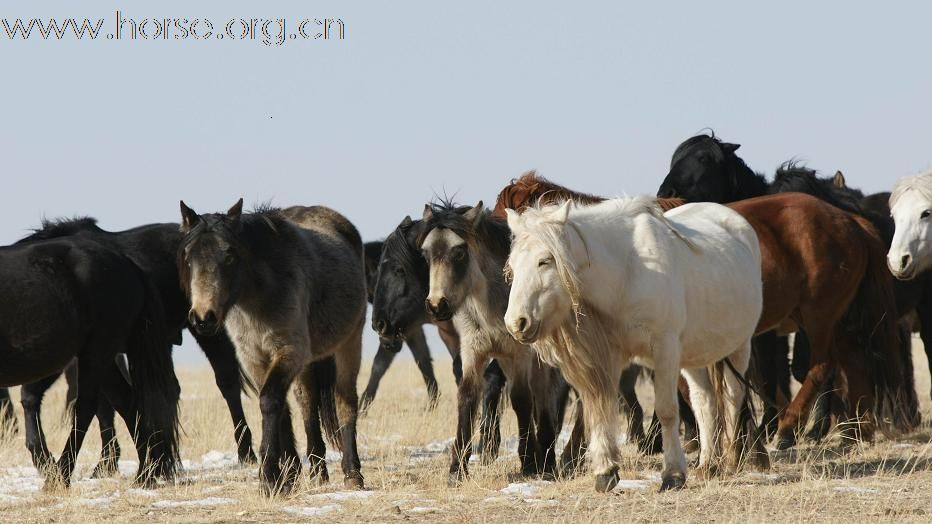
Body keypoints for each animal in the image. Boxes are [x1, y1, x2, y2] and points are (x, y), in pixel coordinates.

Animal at [0, 233, 178, 488]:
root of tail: (128, 264)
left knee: (85, 408)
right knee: (127, 403)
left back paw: (61, 475)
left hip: (97, 351)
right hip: (104, 359)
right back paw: (145, 473)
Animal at [178, 200, 368, 496]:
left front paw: (268, 478)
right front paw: (286, 477)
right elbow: (282, 410)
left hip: (349, 343)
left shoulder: (288, 352)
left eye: (229, 256)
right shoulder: (255, 360)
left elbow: (269, 402)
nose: (203, 317)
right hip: (308, 362)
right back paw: (317, 470)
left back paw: (352, 473)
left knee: (345, 400)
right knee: (307, 402)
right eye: (188, 257)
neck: (260, 297)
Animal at [496, 172, 916, 446]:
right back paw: (854, 433)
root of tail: (849, 220)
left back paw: (788, 430)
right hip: (835, 320)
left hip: (819, 317)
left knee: (822, 366)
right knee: (853, 363)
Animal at [506, 195, 768, 492]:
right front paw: (606, 471)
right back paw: (709, 464)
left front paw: (673, 474)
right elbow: (602, 407)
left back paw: (732, 460)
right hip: (693, 355)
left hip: (739, 348)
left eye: (545, 261)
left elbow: (667, 411)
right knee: (705, 402)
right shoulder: (610, 356)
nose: (516, 323)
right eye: (513, 265)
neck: (627, 271)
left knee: (734, 396)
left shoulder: (665, 349)